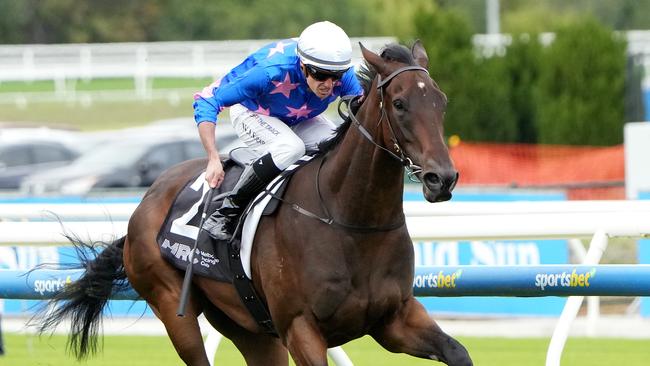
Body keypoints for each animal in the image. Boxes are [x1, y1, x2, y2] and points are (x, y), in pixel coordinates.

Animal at [35, 42, 470, 366]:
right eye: (399, 103)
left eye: (442, 101)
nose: (442, 178)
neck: (350, 221)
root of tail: (144, 203)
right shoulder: (301, 328)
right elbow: (209, 99)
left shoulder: (394, 318)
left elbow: (458, 353)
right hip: (174, 307)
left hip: (248, 326)